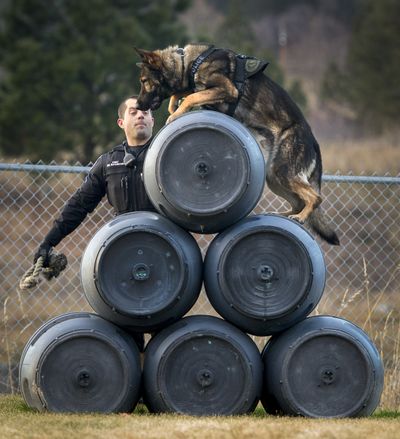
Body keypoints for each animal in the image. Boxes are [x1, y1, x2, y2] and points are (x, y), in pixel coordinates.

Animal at [136, 43, 340, 248]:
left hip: (283, 171)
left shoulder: (227, 89)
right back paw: (286, 216)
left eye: (144, 81)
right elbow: (184, 95)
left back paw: (300, 217)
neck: (188, 63)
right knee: (299, 202)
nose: (137, 106)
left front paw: (176, 112)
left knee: (315, 197)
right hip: (273, 176)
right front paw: (174, 108)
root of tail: (313, 141)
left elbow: (191, 97)